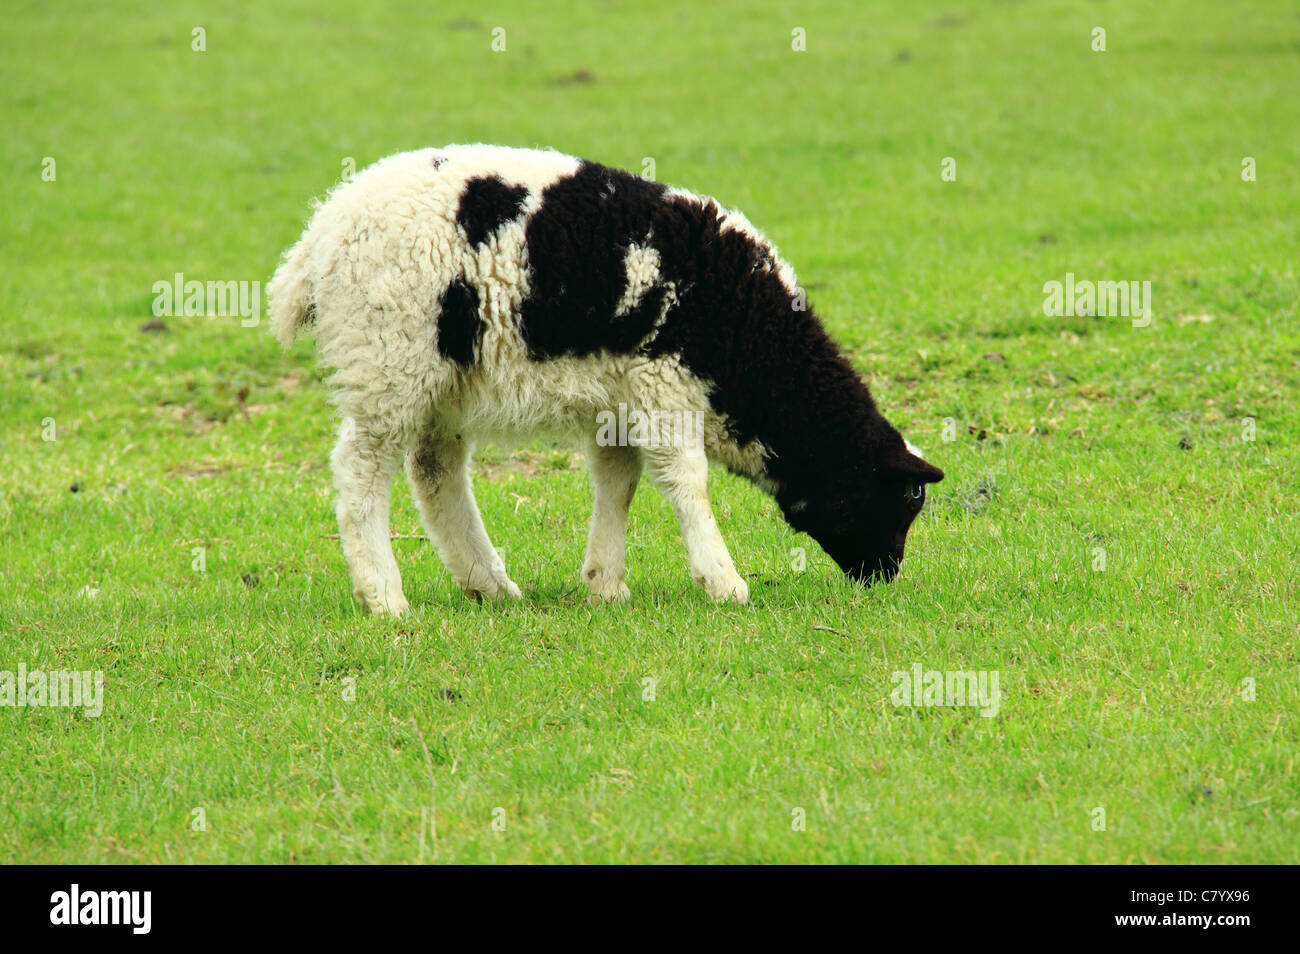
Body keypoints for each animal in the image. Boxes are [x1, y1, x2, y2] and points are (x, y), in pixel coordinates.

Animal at [269, 144, 946, 616]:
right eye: (905, 496)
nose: (886, 575)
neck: (753, 346)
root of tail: (318, 238)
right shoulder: (665, 380)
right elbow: (689, 481)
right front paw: (724, 582)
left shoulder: (617, 399)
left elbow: (619, 483)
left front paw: (605, 584)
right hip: (389, 359)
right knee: (362, 469)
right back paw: (385, 597)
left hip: (442, 377)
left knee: (435, 474)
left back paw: (490, 584)